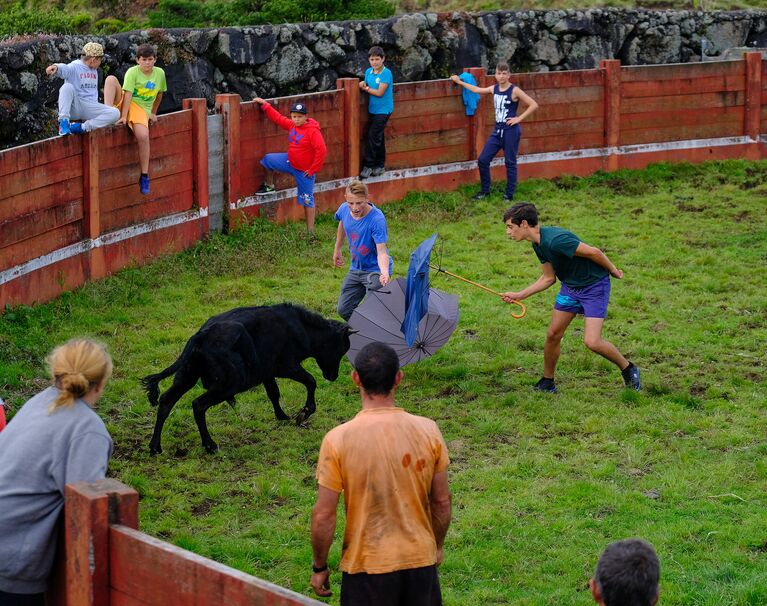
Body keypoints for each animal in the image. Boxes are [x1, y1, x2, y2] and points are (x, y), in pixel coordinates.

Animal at [142, 304, 356, 456]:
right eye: (342, 347)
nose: (333, 376)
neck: (300, 327)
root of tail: (201, 335)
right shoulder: (288, 367)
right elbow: (311, 381)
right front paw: (304, 413)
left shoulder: (267, 373)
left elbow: (274, 393)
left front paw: (282, 416)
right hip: (229, 384)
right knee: (198, 405)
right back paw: (210, 445)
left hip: (187, 376)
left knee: (166, 401)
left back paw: (155, 447)